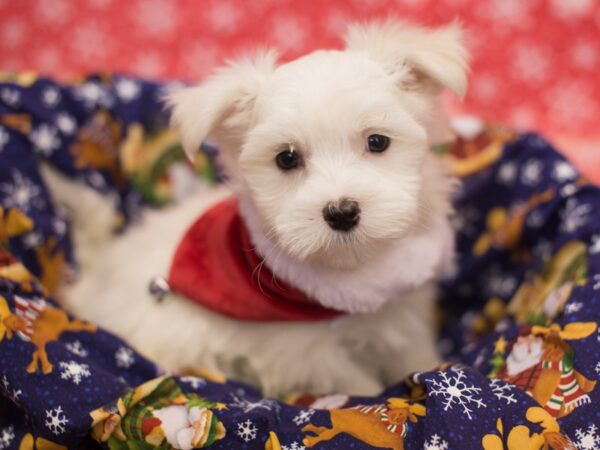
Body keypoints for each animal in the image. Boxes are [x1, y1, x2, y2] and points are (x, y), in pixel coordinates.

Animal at [63, 21, 472, 396]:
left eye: (377, 142)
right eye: (286, 159)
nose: (341, 211)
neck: (355, 278)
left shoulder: (403, 309)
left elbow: (413, 353)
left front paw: (433, 370)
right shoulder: (305, 353)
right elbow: (357, 385)